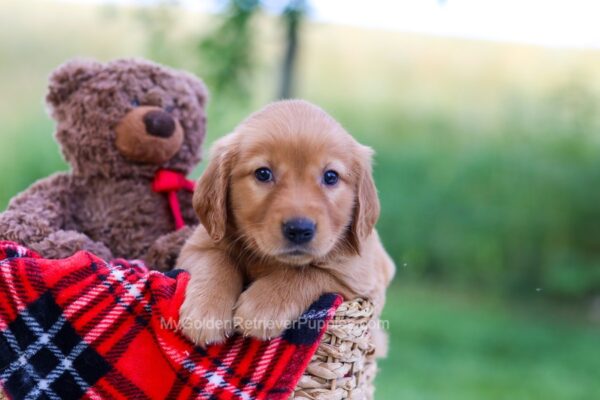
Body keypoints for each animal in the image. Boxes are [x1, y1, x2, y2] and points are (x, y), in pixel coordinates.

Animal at [177, 100, 394, 346]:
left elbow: (308, 273)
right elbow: (216, 259)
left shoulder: (361, 278)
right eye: (263, 173)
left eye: (331, 177)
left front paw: (263, 307)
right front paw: (206, 313)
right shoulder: (197, 246)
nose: (299, 230)